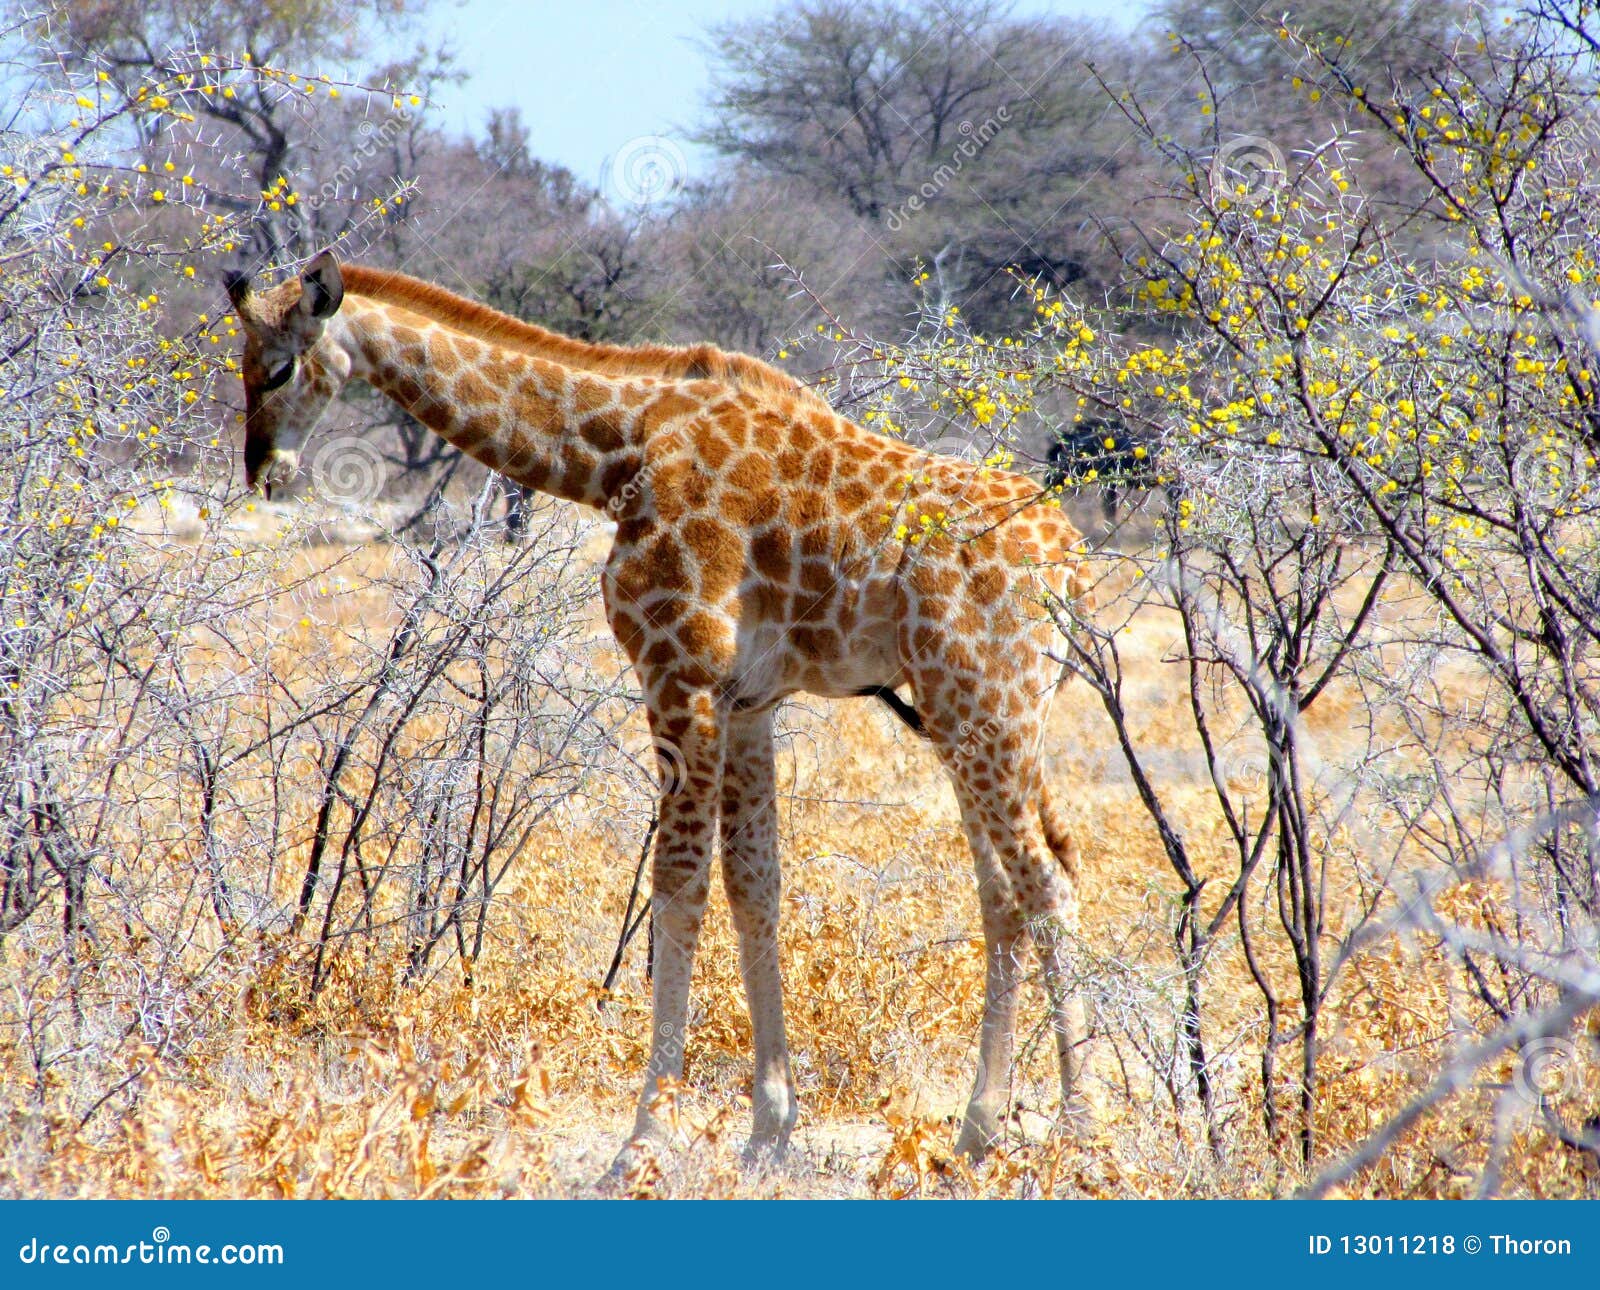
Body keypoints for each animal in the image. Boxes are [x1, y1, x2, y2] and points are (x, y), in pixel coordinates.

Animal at [227, 251, 1098, 1170]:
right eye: (239, 364)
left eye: (278, 367)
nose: (263, 472)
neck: (617, 453)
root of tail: (1073, 566)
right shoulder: (749, 702)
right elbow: (755, 887)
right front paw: (769, 1127)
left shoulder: (679, 672)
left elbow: (677, 886)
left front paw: (644, 1137)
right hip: (969, 713)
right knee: (1005, 890)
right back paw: (979, 1127)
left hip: (985, 703)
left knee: (1045, 883)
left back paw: (1079, 1127)